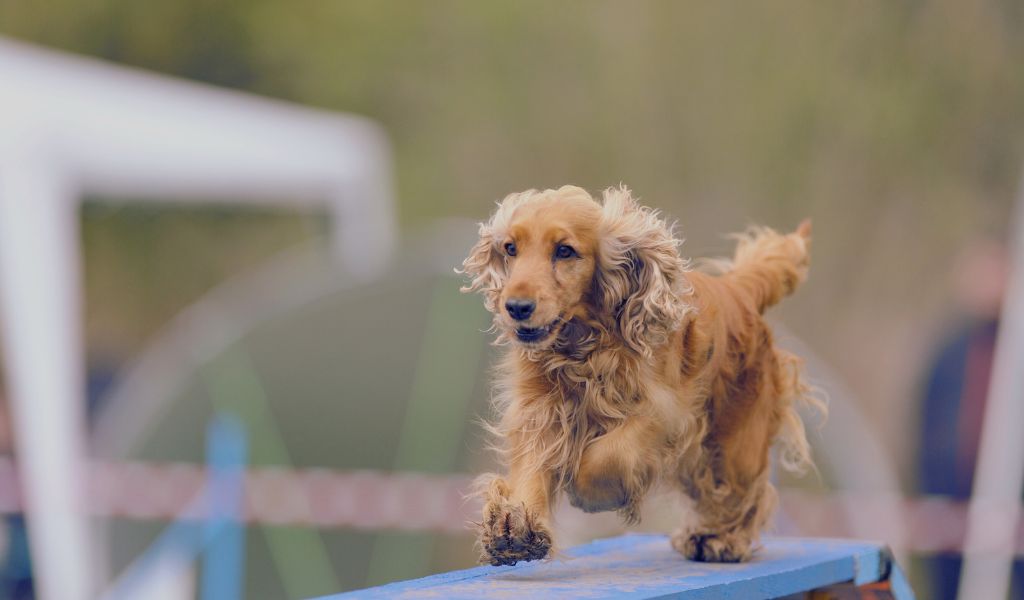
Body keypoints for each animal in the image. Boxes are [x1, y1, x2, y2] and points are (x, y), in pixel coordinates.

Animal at [460, 184, 819, 561]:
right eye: (510, 248)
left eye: (565, 251)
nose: (516, 307)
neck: (582, 348)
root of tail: (738, 289)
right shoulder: (541, 407)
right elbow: (533, 462)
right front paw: (514, 527)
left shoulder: (666, 411)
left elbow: (608, 455)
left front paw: (591, 494)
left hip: (737, 439)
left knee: (738, 491)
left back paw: (719, 539)